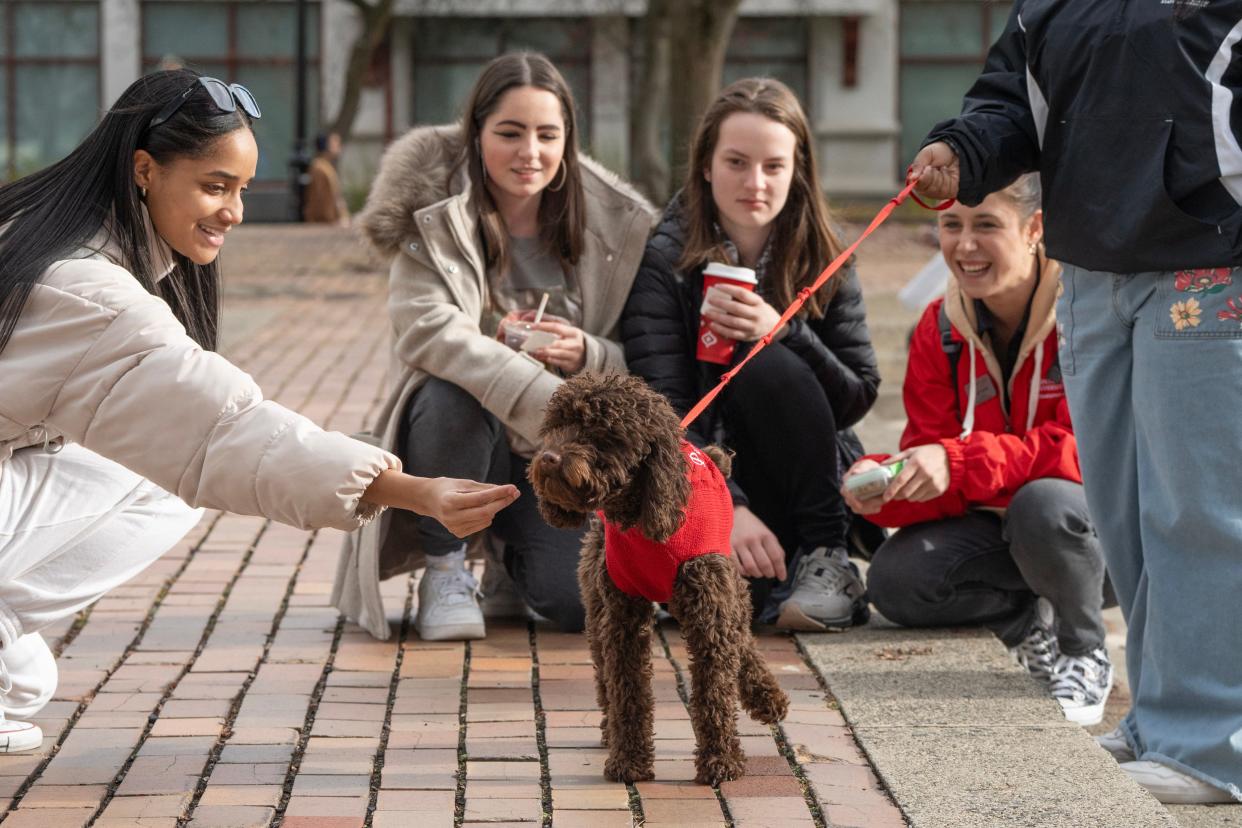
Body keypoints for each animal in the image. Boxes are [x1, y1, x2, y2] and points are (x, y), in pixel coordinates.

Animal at [526, 372, 784, 789]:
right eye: (556, 427)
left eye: (602, 433)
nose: (549, 458)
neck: (642, 517)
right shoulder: (622, 617)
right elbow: (628, 687)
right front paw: (629, 761)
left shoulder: (710, 613)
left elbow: (714, 691)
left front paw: (721, 762)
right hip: (597, 604)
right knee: (605, 673)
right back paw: (609, 729)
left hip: (725, 590)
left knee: (743, 639)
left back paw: (767, 697)